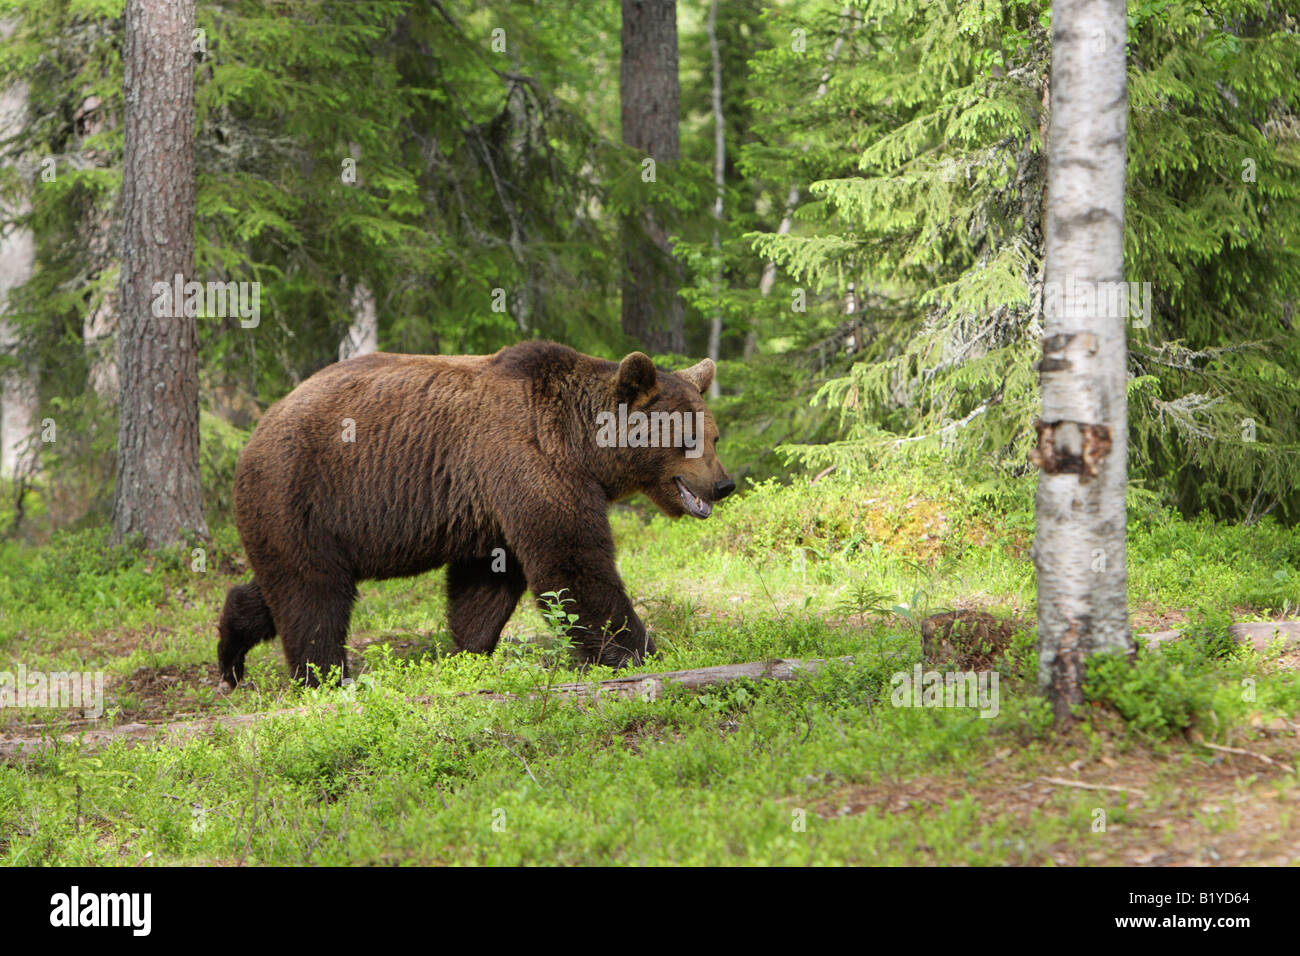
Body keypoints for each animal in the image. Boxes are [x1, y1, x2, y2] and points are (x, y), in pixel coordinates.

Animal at [217, 340, 734, 688]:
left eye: (714, 436)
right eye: (688, 438)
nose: (724, 484)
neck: (581, 445)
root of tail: (257, 430)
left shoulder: (492, 507)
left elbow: (486, 584)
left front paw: (469, 651)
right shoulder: (526, 462)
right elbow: (572, 566)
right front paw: (641, 650)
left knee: (280, 585)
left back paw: (231, 655)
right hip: (301, 494)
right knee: (314, 595)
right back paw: (324, 677)